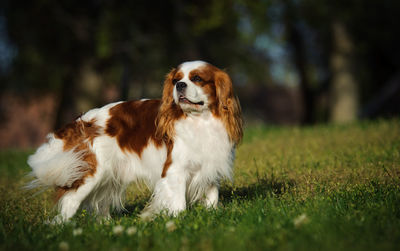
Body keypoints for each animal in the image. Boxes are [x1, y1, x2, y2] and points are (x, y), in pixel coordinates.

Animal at [28, 61, 242, 224]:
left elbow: (212, 195)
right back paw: (59, 226)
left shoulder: (211, 165)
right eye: (175, 80)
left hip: (108, 176)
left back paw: (105, 225)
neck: (200, 120)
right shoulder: (175, 170)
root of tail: (81, 121)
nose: (179, 85)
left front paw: (212, 214)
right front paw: (178, 220)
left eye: (197, 78)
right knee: (69, 201)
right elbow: (178, 201)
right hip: (91, 173)